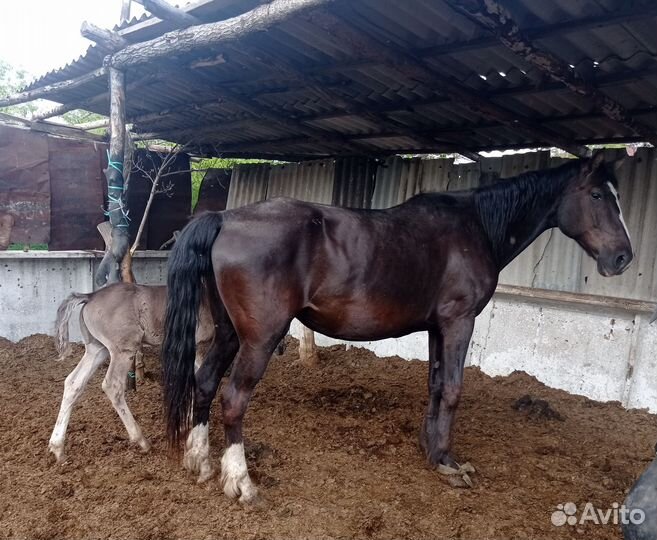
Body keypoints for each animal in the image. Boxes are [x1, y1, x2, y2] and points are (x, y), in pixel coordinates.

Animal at [49, 282, 215, 468]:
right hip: (123, 349)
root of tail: (90, 296)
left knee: (73, 383)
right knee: (112, 385)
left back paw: (58, 449)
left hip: (97, 348)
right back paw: (141, 441)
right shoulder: (200, 347)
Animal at [162, 152, 633, 503]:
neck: (476, 225)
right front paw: (449, 463)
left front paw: (432, 450)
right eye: (596, 194)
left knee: (204, 382)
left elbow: (436, 385)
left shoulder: (437, 327)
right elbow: (454, 389)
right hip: (259, 339)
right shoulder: (459, 321)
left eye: (617, 196)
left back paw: (199, 461)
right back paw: (241, 482)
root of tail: (225, 219)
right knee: (233, 398)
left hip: (229, 333)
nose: (623, 258)